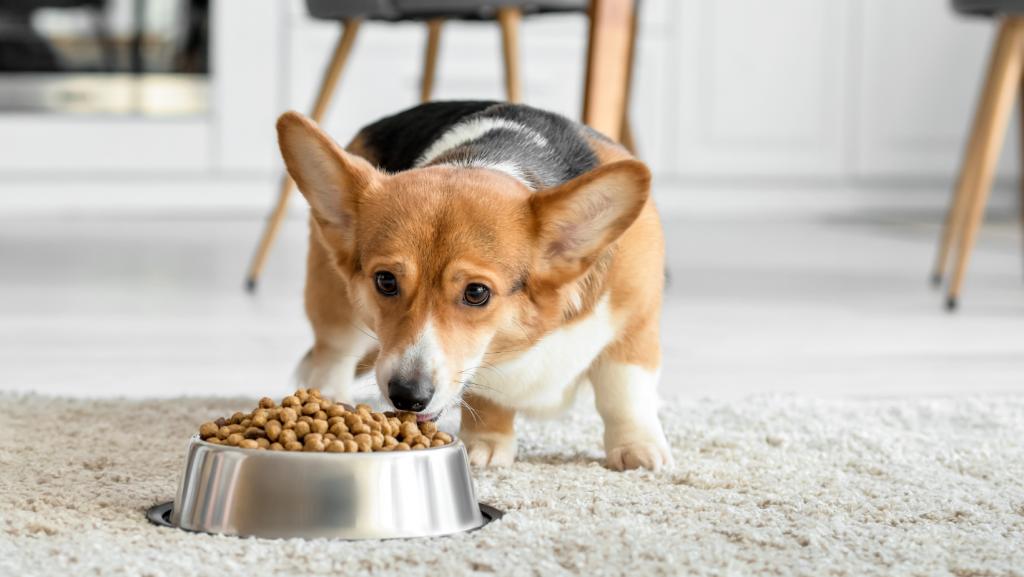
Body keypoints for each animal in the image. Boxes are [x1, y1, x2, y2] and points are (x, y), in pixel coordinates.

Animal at [276, 101, 671, 469]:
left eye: (476, 292)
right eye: (385, 280)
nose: (407, 396)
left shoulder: (636, 326)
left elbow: (624, 392)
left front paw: (637, 448)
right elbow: (489, 394)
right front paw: (487, 444)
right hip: (335, 305)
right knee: (332, 354)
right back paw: (328, 398)